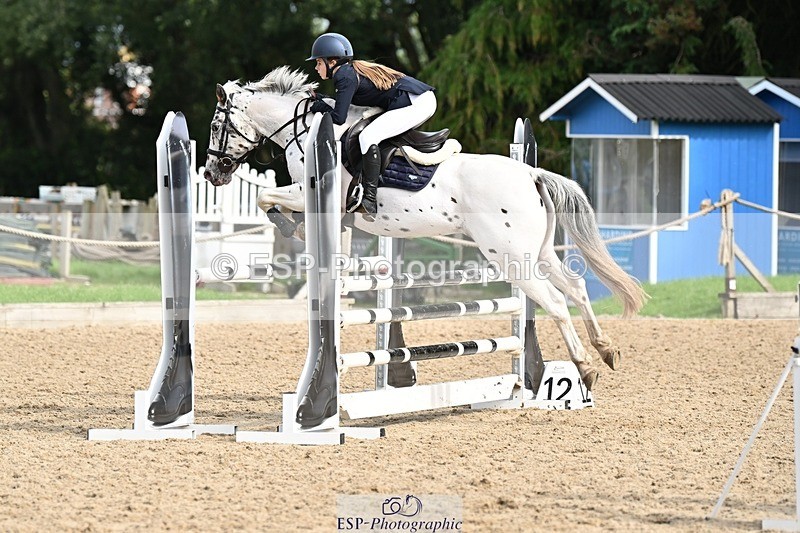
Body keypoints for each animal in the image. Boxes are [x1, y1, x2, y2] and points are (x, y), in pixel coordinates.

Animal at [202, 66, 647, 390]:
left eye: (215, 127)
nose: (210, 172)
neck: (307, 131)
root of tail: (531, 173)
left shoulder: (316, 193)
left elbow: (266, 198)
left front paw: (289, 226)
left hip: (510, 258)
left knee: (555, 301)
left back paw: (584, 367)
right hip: (535, 252)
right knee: (576, 287)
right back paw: (606, 351)